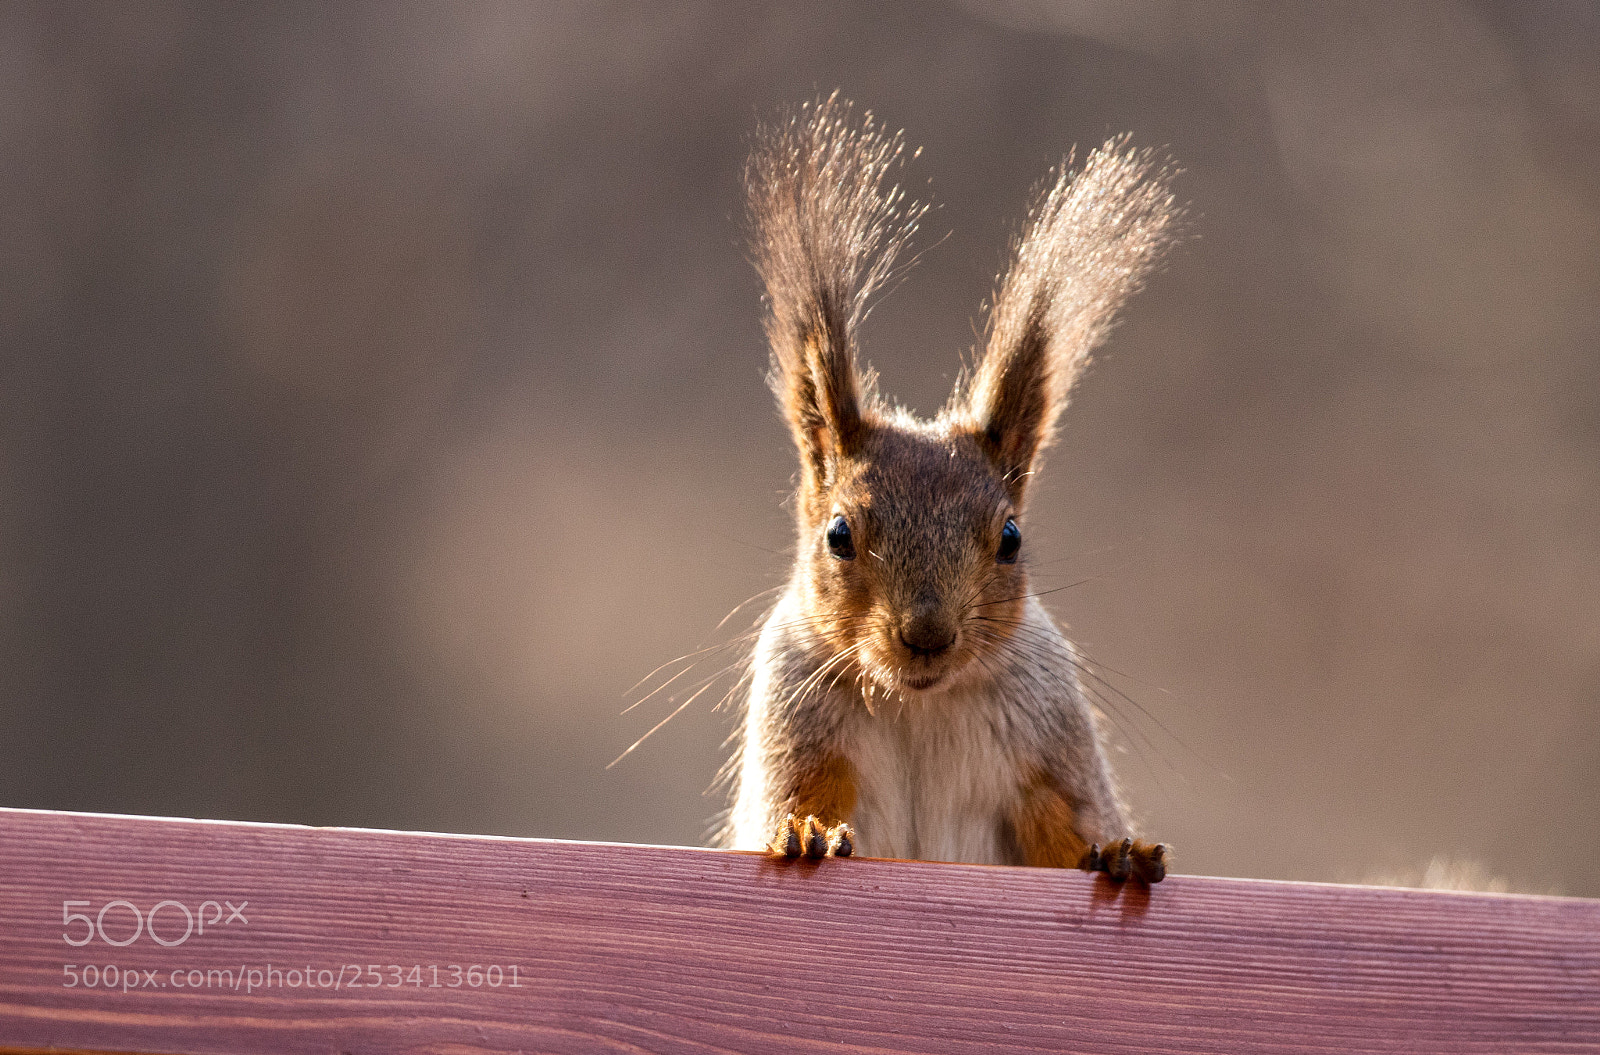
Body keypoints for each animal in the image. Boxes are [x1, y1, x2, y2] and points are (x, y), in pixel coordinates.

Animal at [724, 96, 1179, 883]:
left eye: (1011, 538)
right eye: (838, 535)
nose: (928, 635)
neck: (919, 704)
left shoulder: (1050, 748)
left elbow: (1069, 831)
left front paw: (1120, 855)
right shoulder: (793, 718)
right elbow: (791, 801)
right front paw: (805, 831)